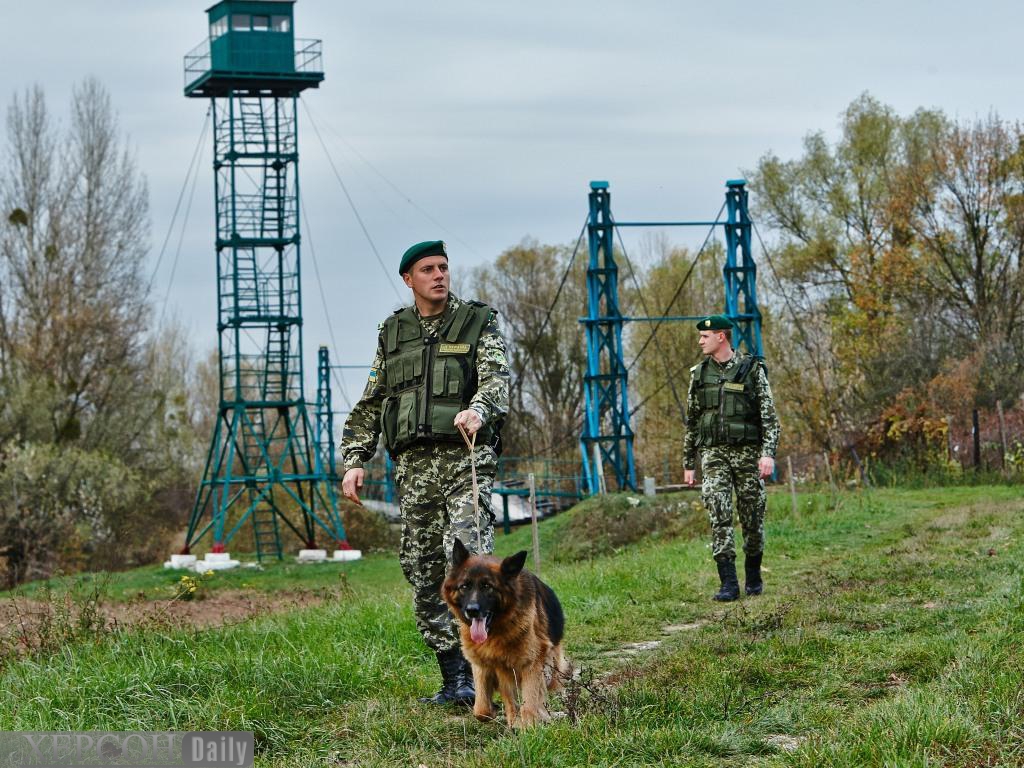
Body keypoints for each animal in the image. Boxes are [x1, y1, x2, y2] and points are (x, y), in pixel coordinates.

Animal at [440, 536, 569, 729]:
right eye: (464, 586)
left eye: (487, 586)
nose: (472, 610)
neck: (497, 630)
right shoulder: (487, 665)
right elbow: (482, 709)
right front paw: (507, 718)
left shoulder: (531, 663)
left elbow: (530, 703)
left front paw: (529, 726)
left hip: (550, 666)